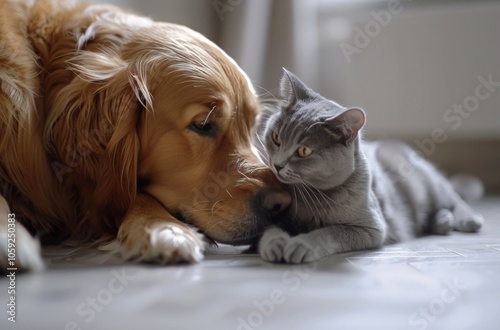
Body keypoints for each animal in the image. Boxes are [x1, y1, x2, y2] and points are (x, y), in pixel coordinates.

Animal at [254, 69, 484, 262]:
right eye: (276, 137)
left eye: (304, 151)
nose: (277, 165)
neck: (311, 197)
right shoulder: (275, 215)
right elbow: (270, 228)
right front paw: (274, 243)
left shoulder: (370, 227)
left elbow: (330, 232)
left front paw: (302, 244)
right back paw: (443, 221)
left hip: (428, 184)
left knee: (452, 196)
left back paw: (467, 219)